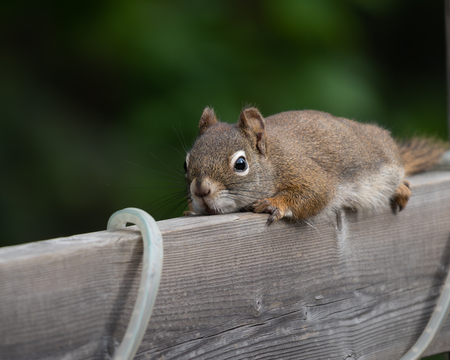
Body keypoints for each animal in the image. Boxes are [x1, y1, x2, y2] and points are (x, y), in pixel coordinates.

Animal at [183, 106, 446, 225]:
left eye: (240, 164)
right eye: (185, 164)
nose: (201, 190)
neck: (273, 162)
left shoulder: (306, 172)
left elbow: (316, 193)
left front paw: (273, 204)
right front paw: (191, 210)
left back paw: (400, 188)